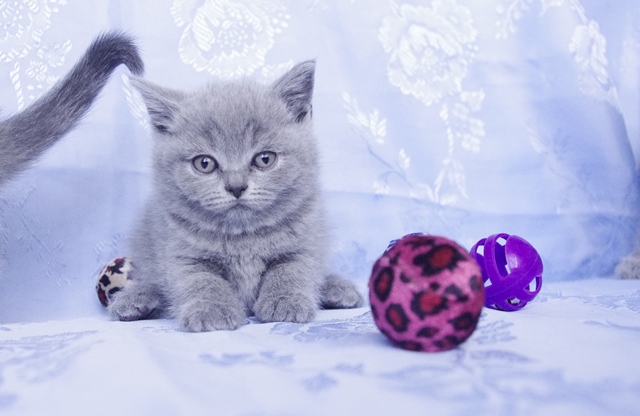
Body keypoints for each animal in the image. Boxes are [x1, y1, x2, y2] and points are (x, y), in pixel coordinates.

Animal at [107, 61, 364, 332]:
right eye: (205, 163)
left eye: (265, 159)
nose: (236, 186)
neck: (243, 236)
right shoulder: (181, 253)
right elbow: (201, 280)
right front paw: (211, 309)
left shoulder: (305, 242)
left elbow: (290, 270)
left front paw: (285, 301)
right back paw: (136, 299)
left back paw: (337, 289)